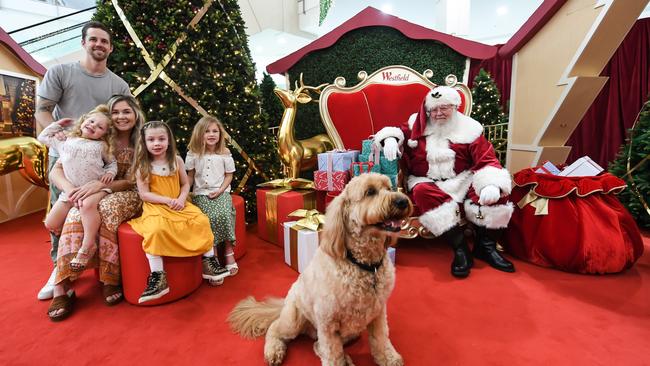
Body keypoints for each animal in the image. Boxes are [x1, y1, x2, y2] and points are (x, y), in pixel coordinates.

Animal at [228, 173, 410, 364]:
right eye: (370, 192)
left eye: (389, 188)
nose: (403, 201)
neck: (363, 265)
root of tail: (283, 305)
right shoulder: (327, 323)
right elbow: (332, 355)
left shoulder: (378, 313)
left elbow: (381, 339)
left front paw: (389, 358)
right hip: (294, 319)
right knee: (275, 328)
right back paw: (273, 351)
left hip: (351, 330)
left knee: (317, 345)